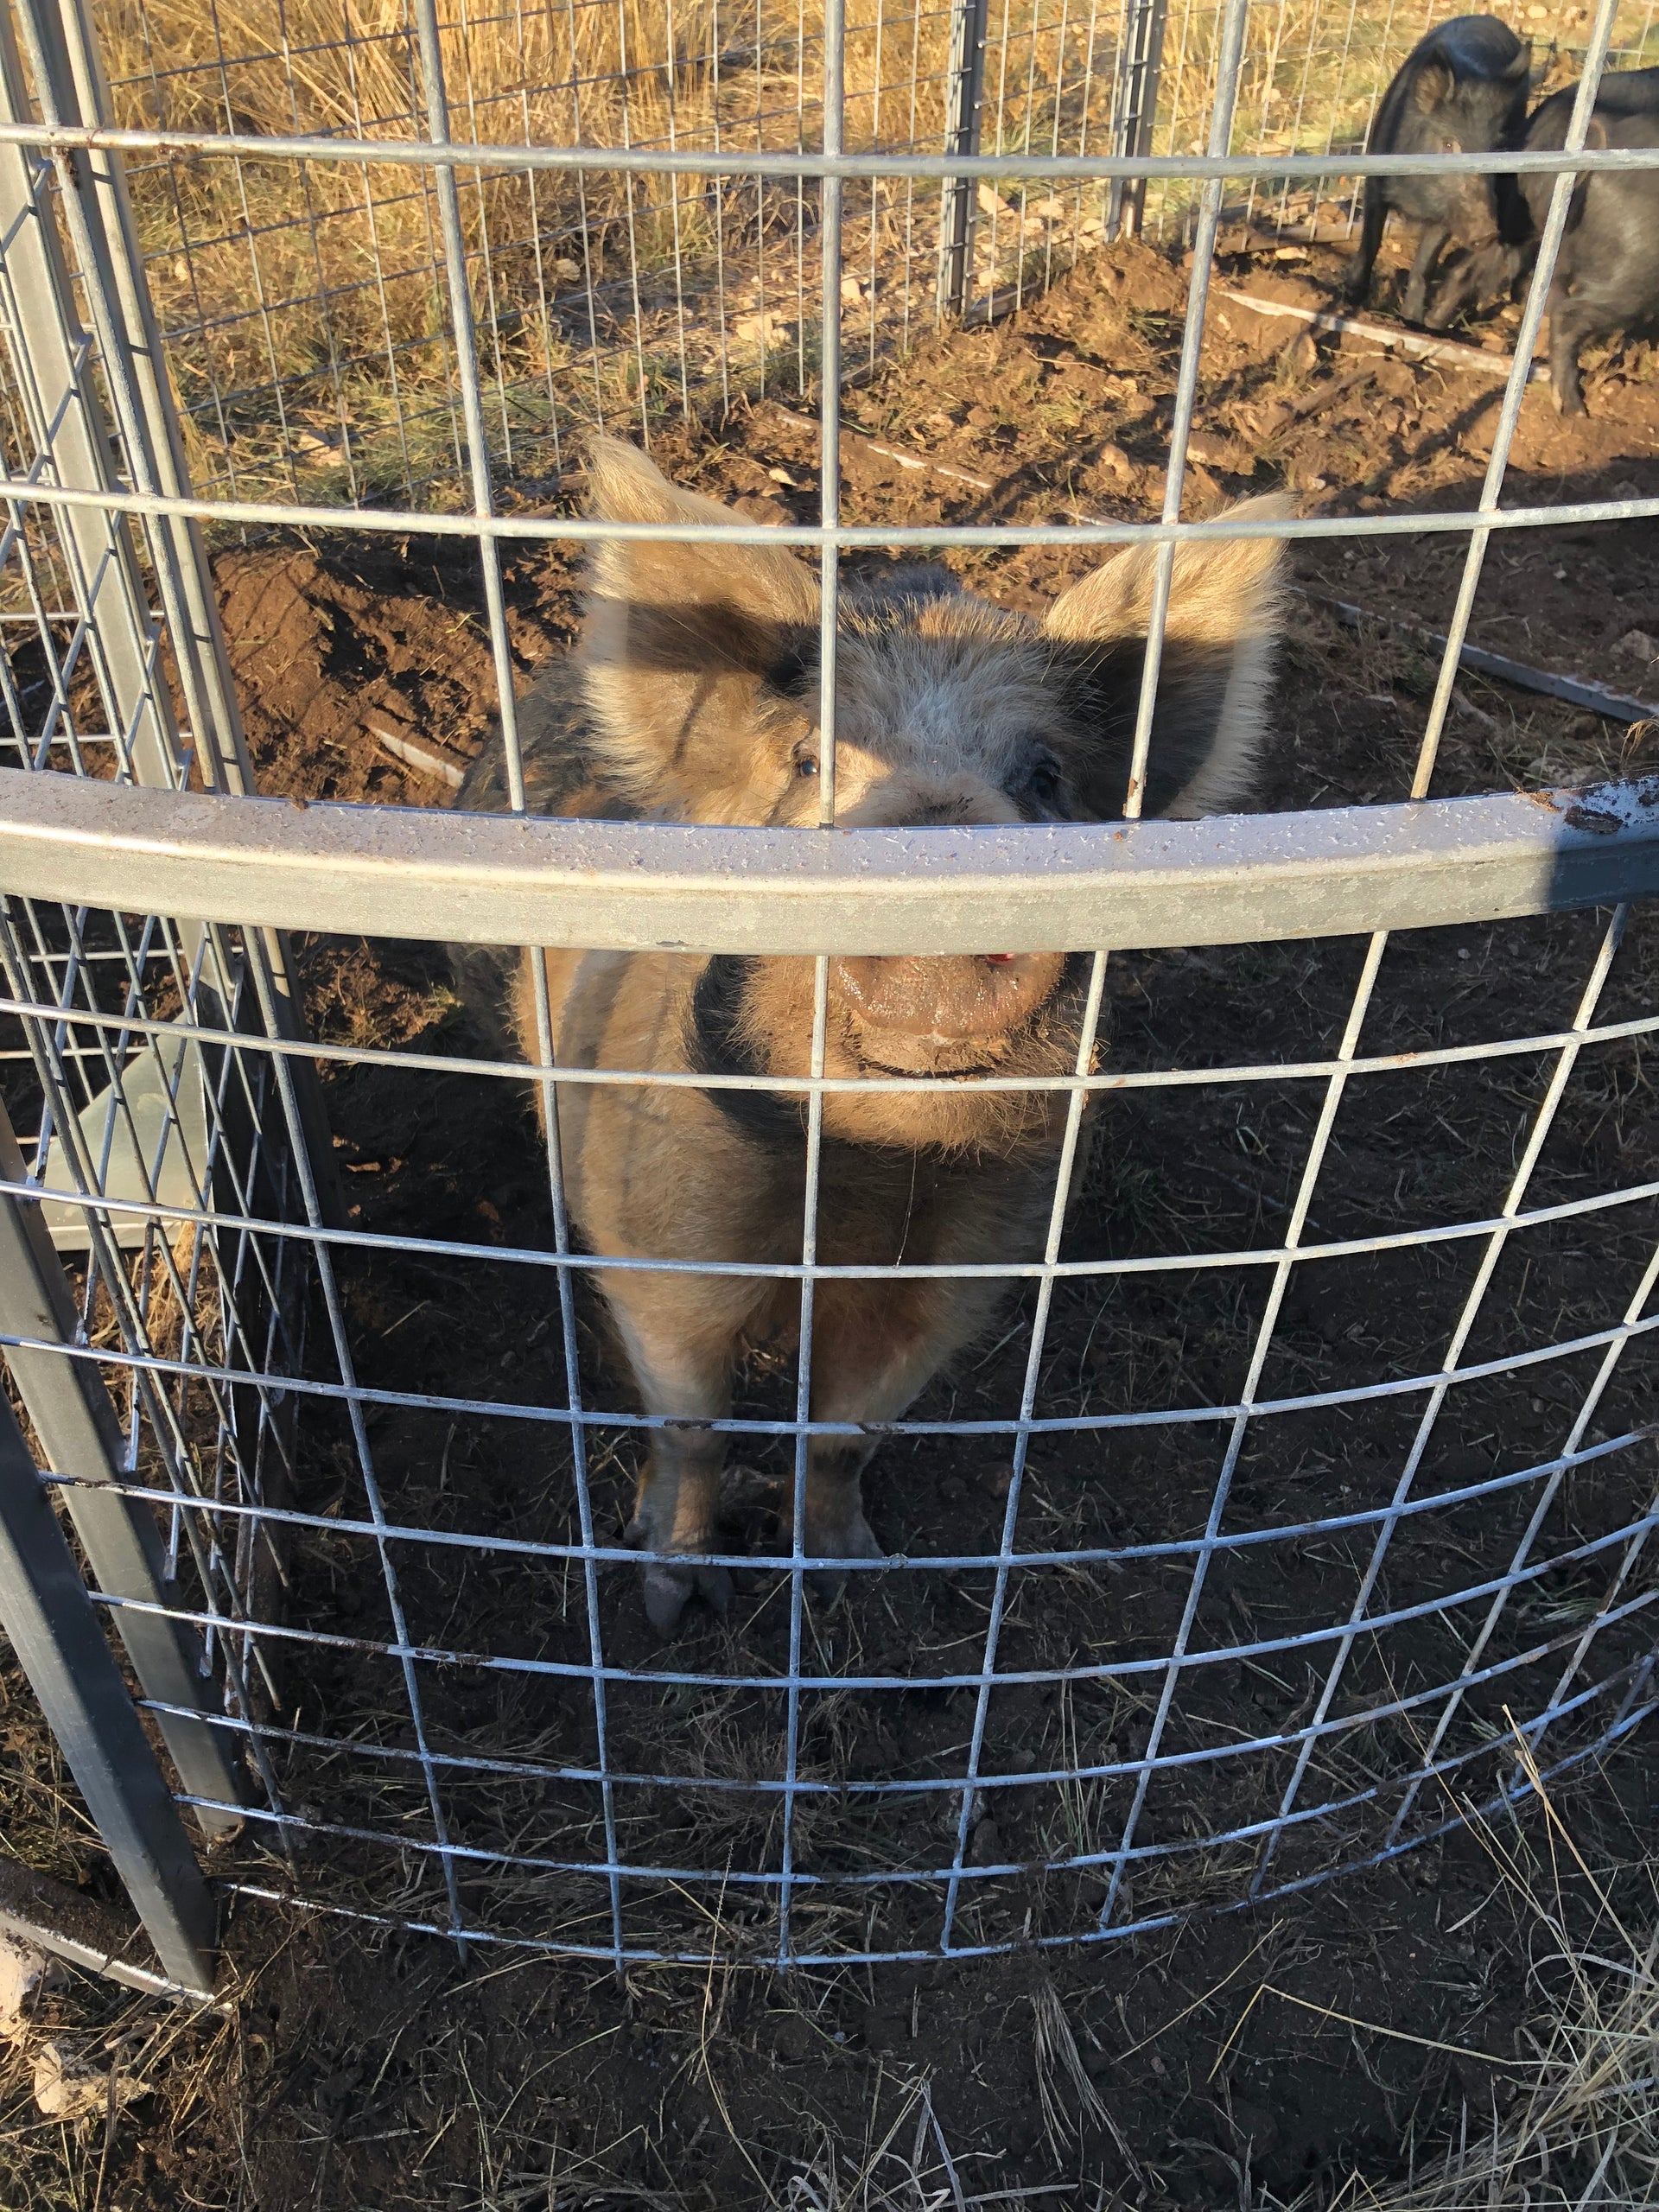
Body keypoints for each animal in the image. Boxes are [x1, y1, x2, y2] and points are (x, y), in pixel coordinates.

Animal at [451, 436, 1291, 1633]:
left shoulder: (966, 1263)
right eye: (810, 762)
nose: (942, 879)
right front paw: (672, 1598)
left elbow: (847, 1431)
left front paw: (852, 1573)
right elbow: (691, 1422)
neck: (858, 1182)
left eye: (1043, 779)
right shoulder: (657, 1228)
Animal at [1341, 15, 1531, 327]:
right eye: (1448, 143)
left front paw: (1412, 322)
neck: (1416, 199)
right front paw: (1351, 298)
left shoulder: (1447, 214)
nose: (1487, 233)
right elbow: (1371, 242)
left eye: (1497, 149)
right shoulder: (1375, 182)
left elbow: (1425, 264)